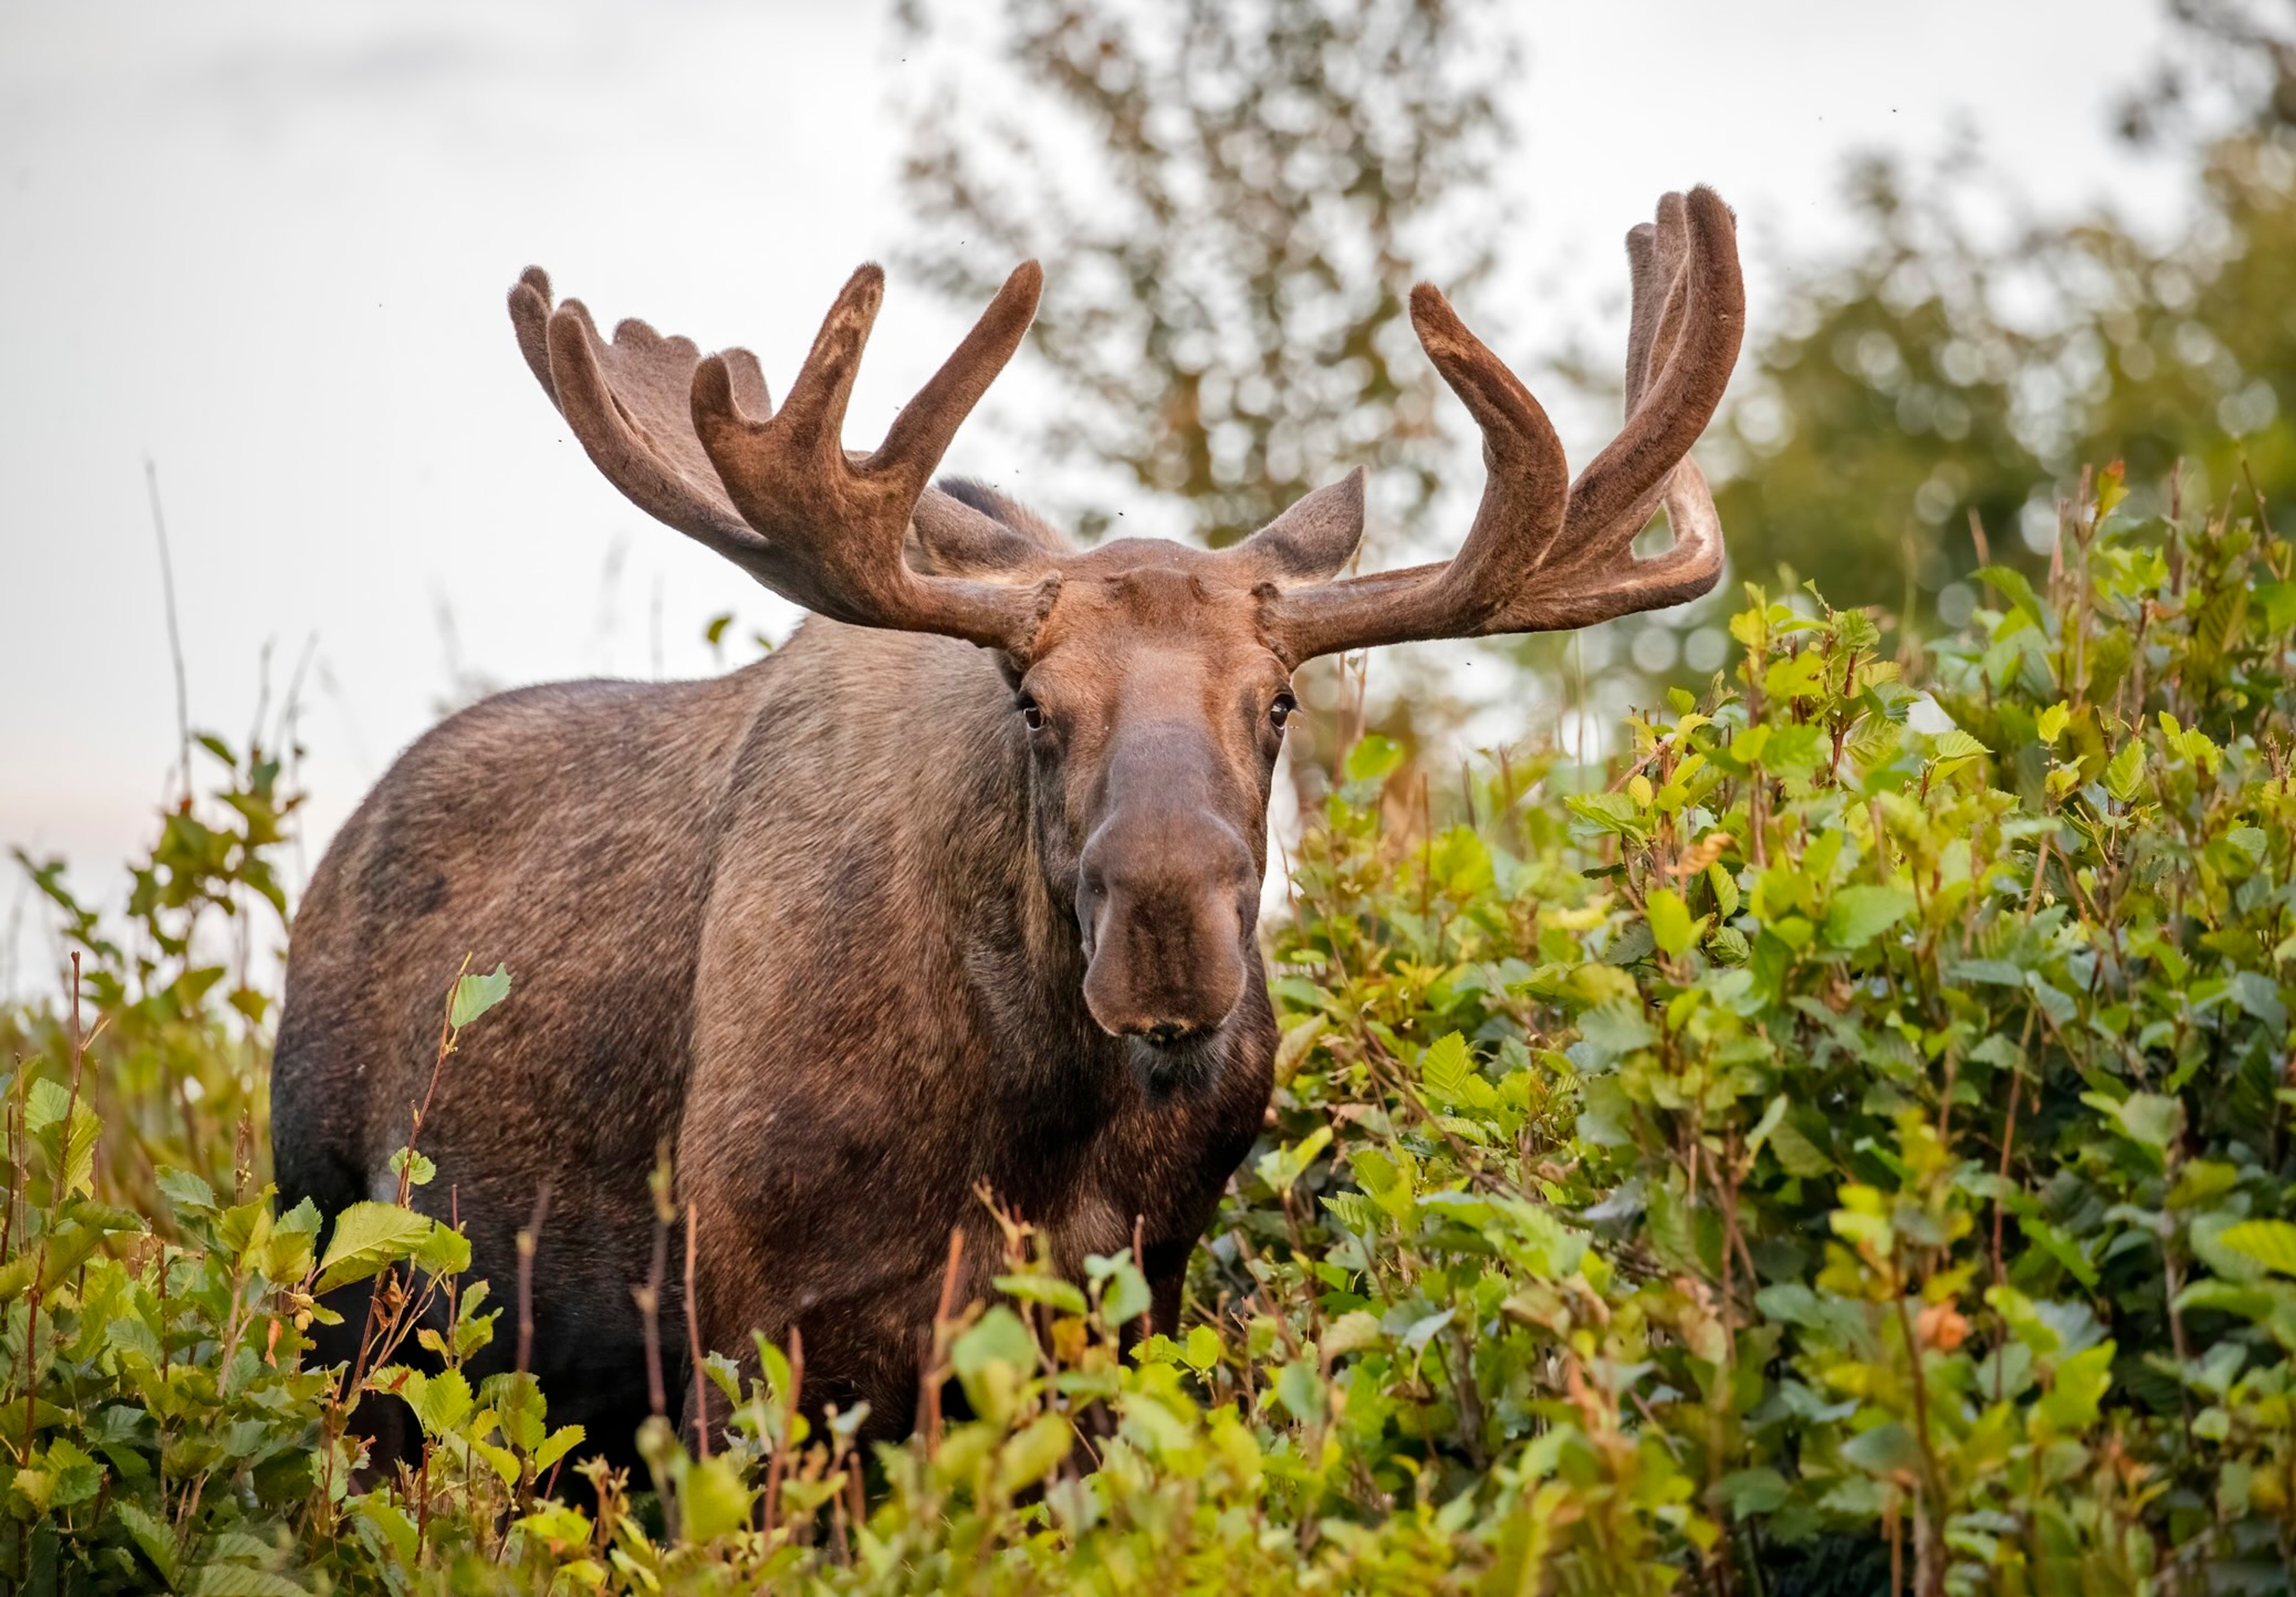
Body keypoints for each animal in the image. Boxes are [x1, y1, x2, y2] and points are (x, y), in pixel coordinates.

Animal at [270, 189, 1743, 1461]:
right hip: (337, 1266)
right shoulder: (741, 1324)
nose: (1168, 935)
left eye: (1276, 702)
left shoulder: (1128, 1295)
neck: (1033, 1120)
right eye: (1034, 702)